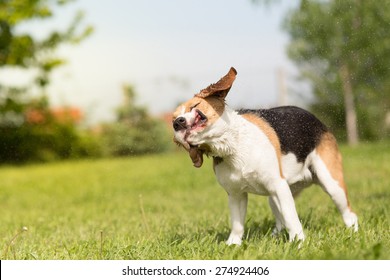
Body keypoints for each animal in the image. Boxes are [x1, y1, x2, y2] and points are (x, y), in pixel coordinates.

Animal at [172, 66, 358, 244]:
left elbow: (291, 218)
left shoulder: (278, 185)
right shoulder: (236, 194)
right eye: (173, 118)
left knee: (350, 214)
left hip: (331, 185)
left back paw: (353, 233)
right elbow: (237, 225)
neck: (233, 146)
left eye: (194, 106)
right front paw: (233, 245)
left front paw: (298, 243)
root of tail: (317, 120)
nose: (176, 123)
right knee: (280, 221)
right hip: (276, 197)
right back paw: (275, 236)